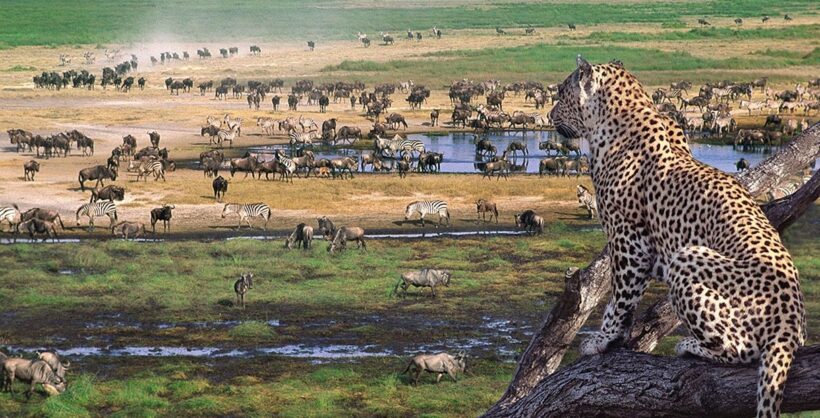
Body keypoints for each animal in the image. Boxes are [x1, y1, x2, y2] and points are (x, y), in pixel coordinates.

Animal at [548, 56, 804, 418]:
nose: (549, 115)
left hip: (687, 258)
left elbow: (620, 296)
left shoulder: (628, 239)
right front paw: (618, 338)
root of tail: (790, 324)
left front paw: (604, 339)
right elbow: (628, 298)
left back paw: (690, 345)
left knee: (743, 350)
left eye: (561, 92)